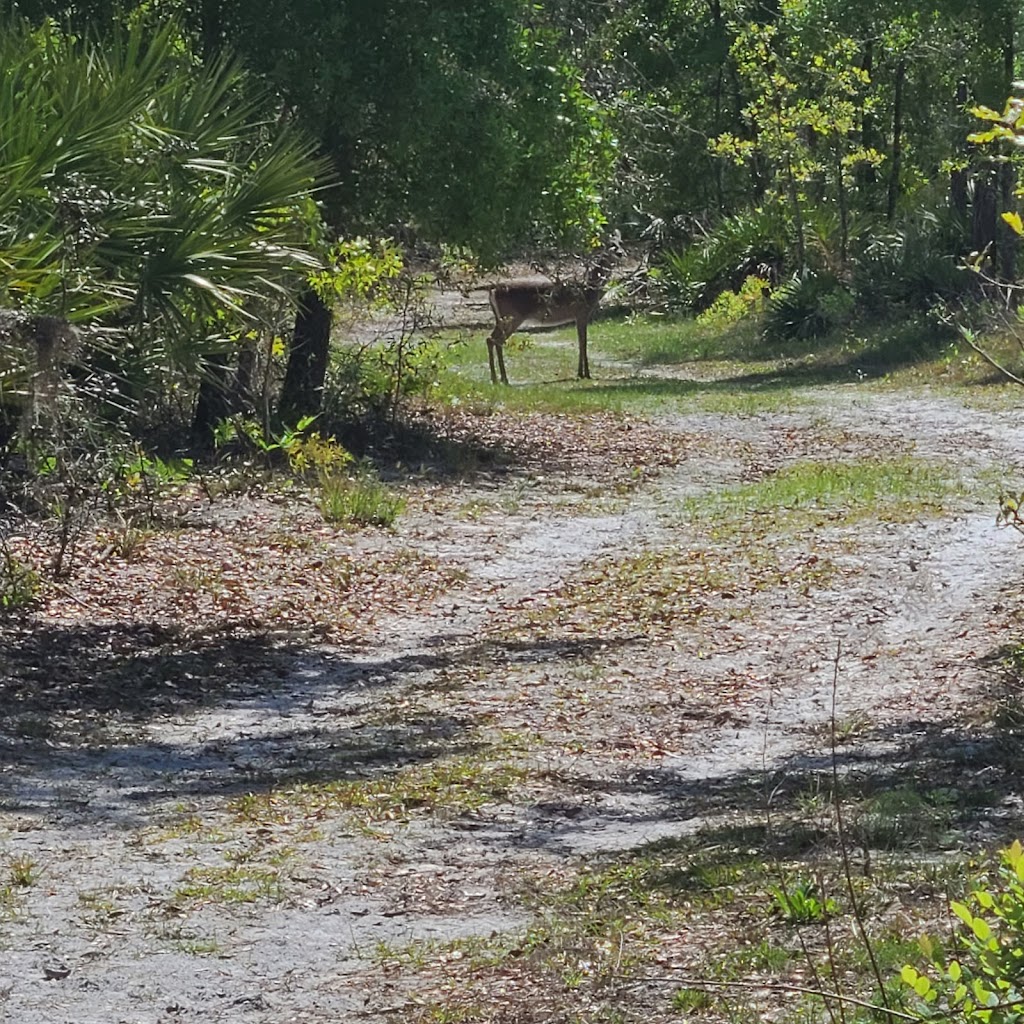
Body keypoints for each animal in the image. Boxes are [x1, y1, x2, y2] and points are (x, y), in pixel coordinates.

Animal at [485, 248, 618, 387]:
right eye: (611, 249)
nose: (620, 253)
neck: (590, 290)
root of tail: (493, 291)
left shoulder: (577, 317)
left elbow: (580, 342)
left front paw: (580, 373)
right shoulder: (582, 313)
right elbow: (583, 342)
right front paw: (586, 374)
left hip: (502, 318)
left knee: (491, 339)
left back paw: (496, 379)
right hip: (512, 316)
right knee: (497, 340)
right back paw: (503, 379)